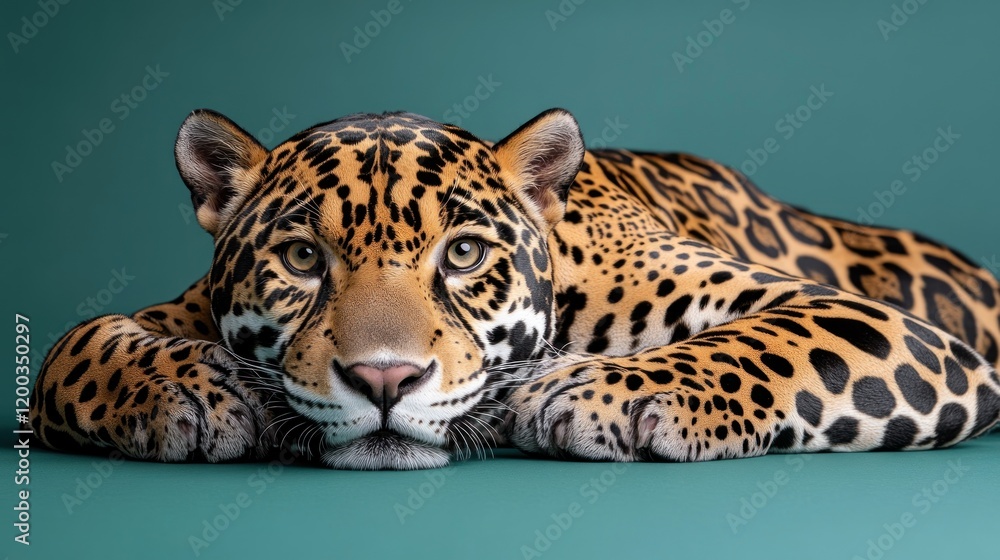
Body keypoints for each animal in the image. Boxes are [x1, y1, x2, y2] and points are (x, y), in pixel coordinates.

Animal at [29, 108, 1000, 469]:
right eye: (303, 259)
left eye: (462, 255)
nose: (385, 381)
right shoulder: (174, 311)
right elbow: (77, 341)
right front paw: (192, 393)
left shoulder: (872, 321)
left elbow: (764, 342)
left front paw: (592, 392)